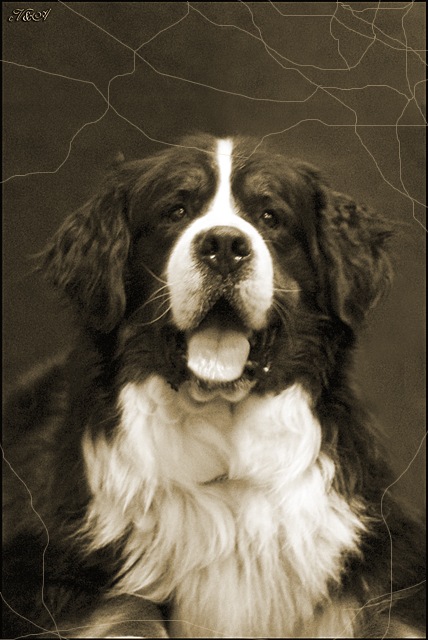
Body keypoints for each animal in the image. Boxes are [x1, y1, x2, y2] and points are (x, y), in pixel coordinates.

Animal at [3, 134, 425, 638]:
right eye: (176, 211)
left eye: (270, 217)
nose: (224, 245)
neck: (226, 449)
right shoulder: (44, 573)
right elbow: (128, 607)